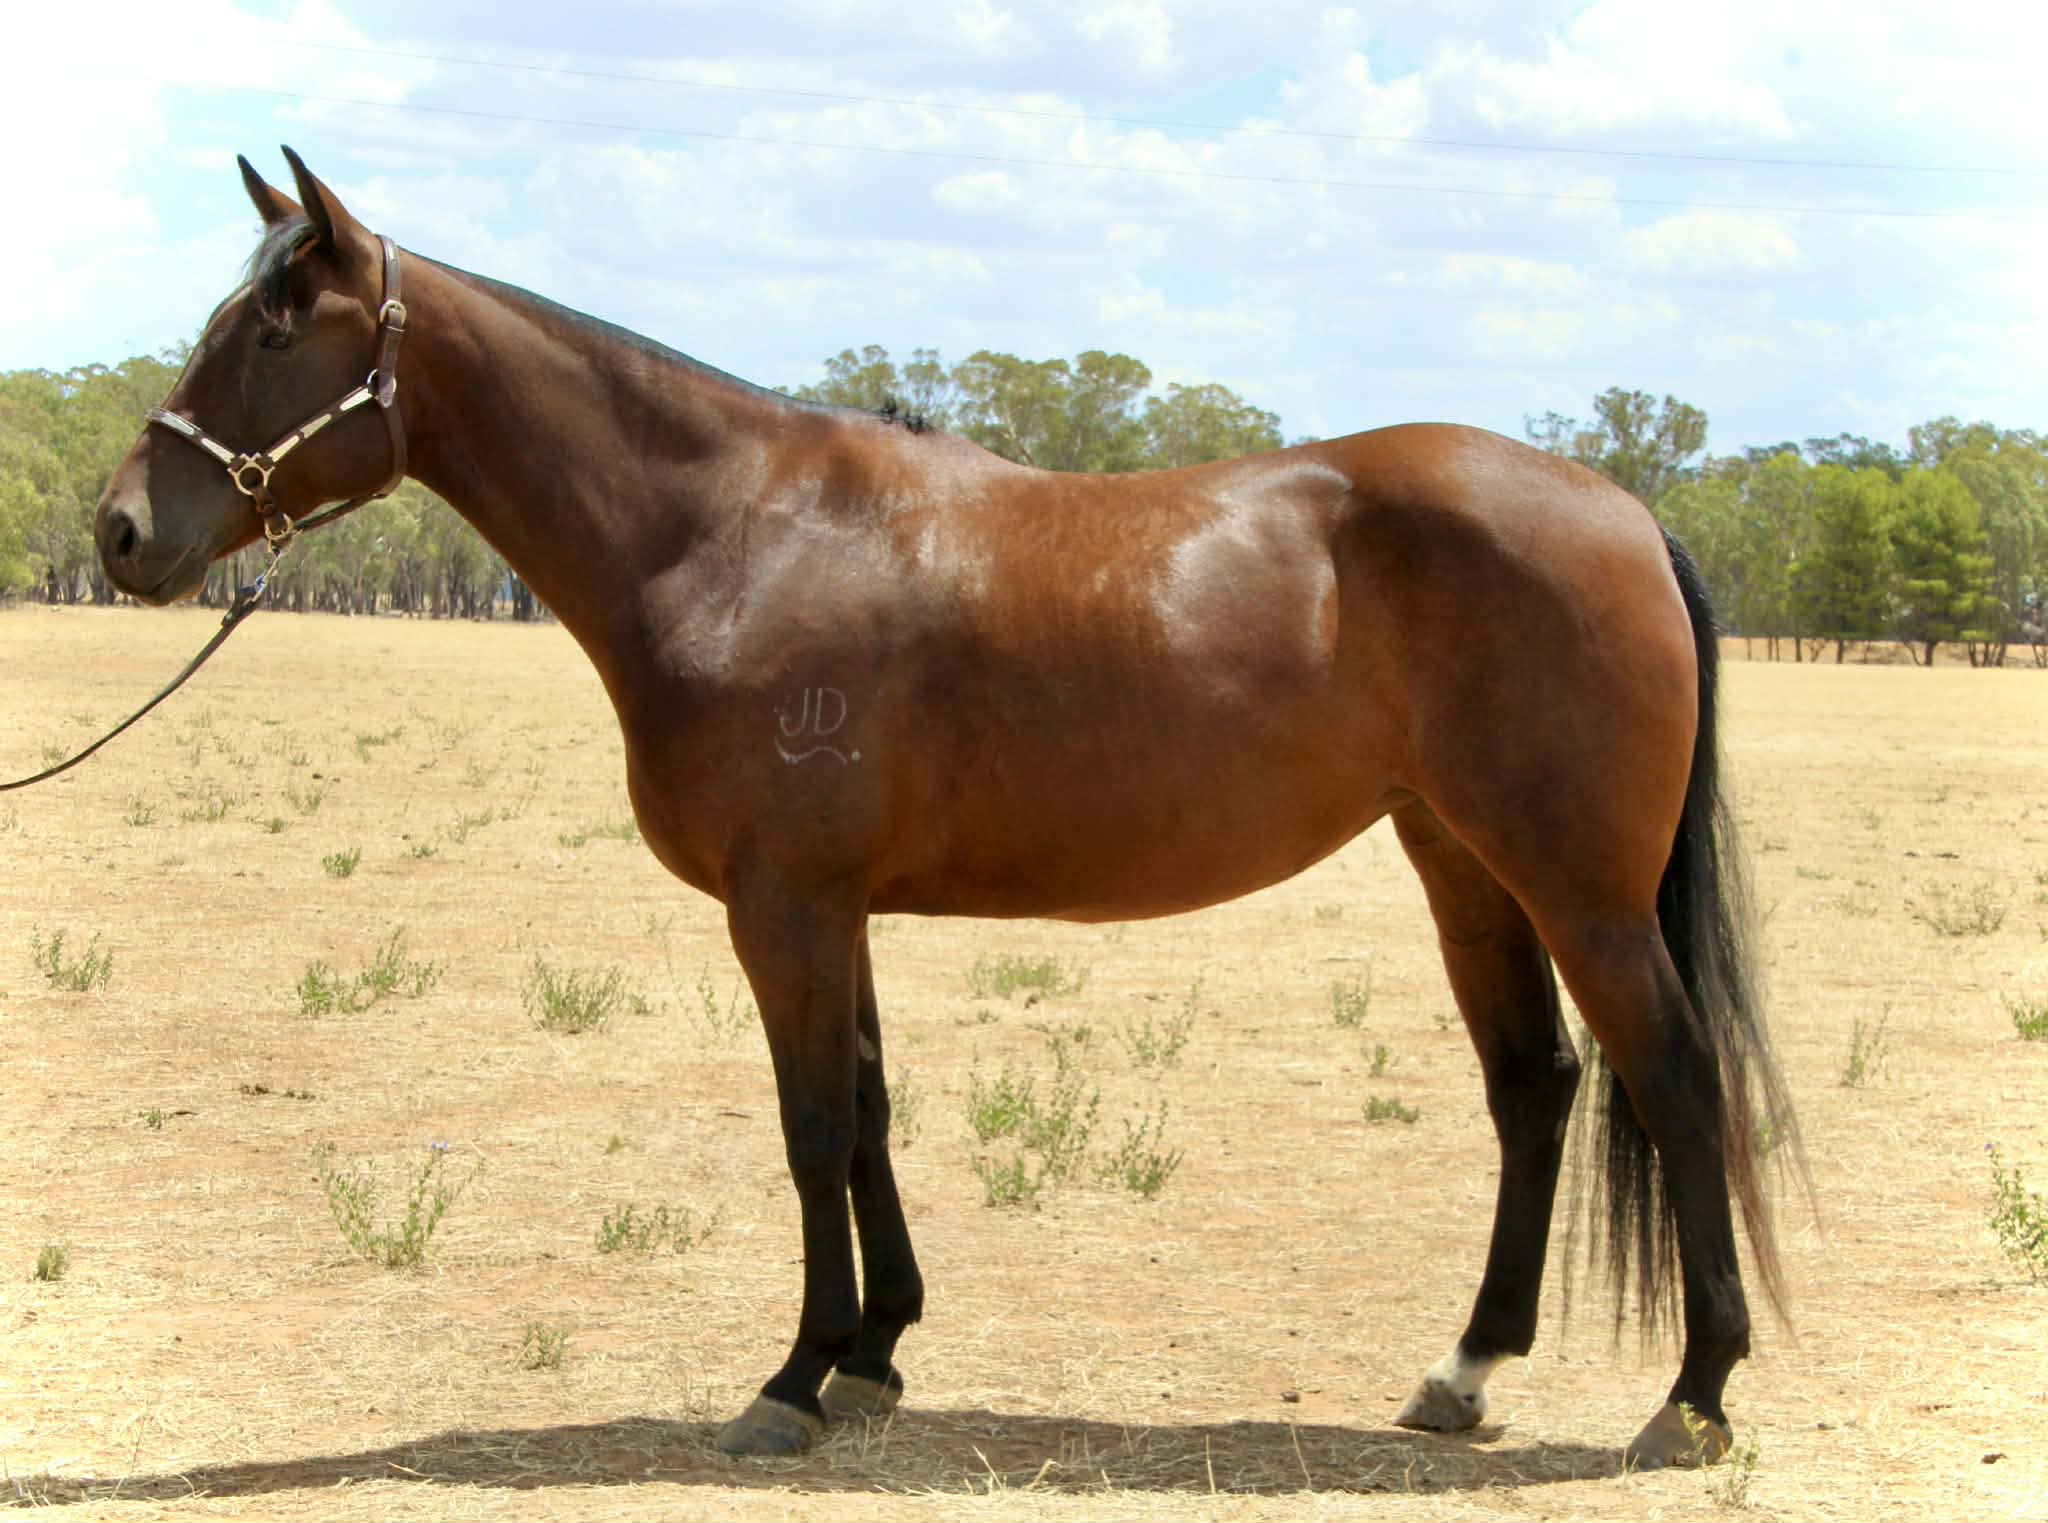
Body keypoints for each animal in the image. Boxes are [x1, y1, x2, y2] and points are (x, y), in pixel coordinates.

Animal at [94, 147, 1796, 1469]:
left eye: (269, 329)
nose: (119, 530)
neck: (736, 531)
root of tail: (1627, 511)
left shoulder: (784, 904)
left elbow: (809, 1127)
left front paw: (792, 1377)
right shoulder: (827, 903)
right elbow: (866, 1111)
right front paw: (875, 1354)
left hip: (1578, 890)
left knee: (1675, 1076)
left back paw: (1695, 1393)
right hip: (1463, 864)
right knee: (1536, 1085)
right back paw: (1466, 1369)